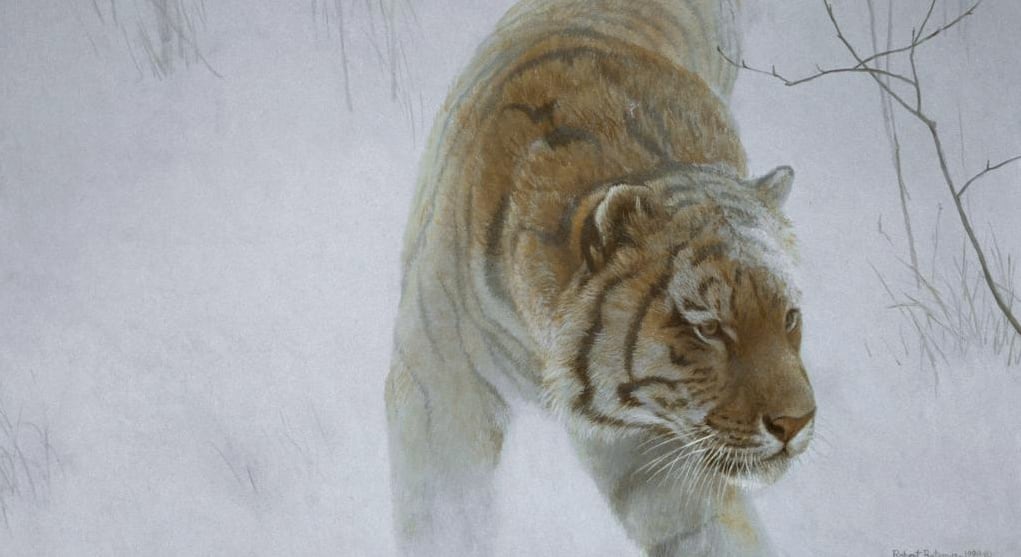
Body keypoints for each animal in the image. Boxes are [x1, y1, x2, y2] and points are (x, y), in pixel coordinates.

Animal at [384, 0, 816, 555]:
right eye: (708, 328)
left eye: (790, 318)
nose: (796, 423)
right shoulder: (441, 386)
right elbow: (445, 516)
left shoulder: (649, 436)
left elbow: (705, 530)